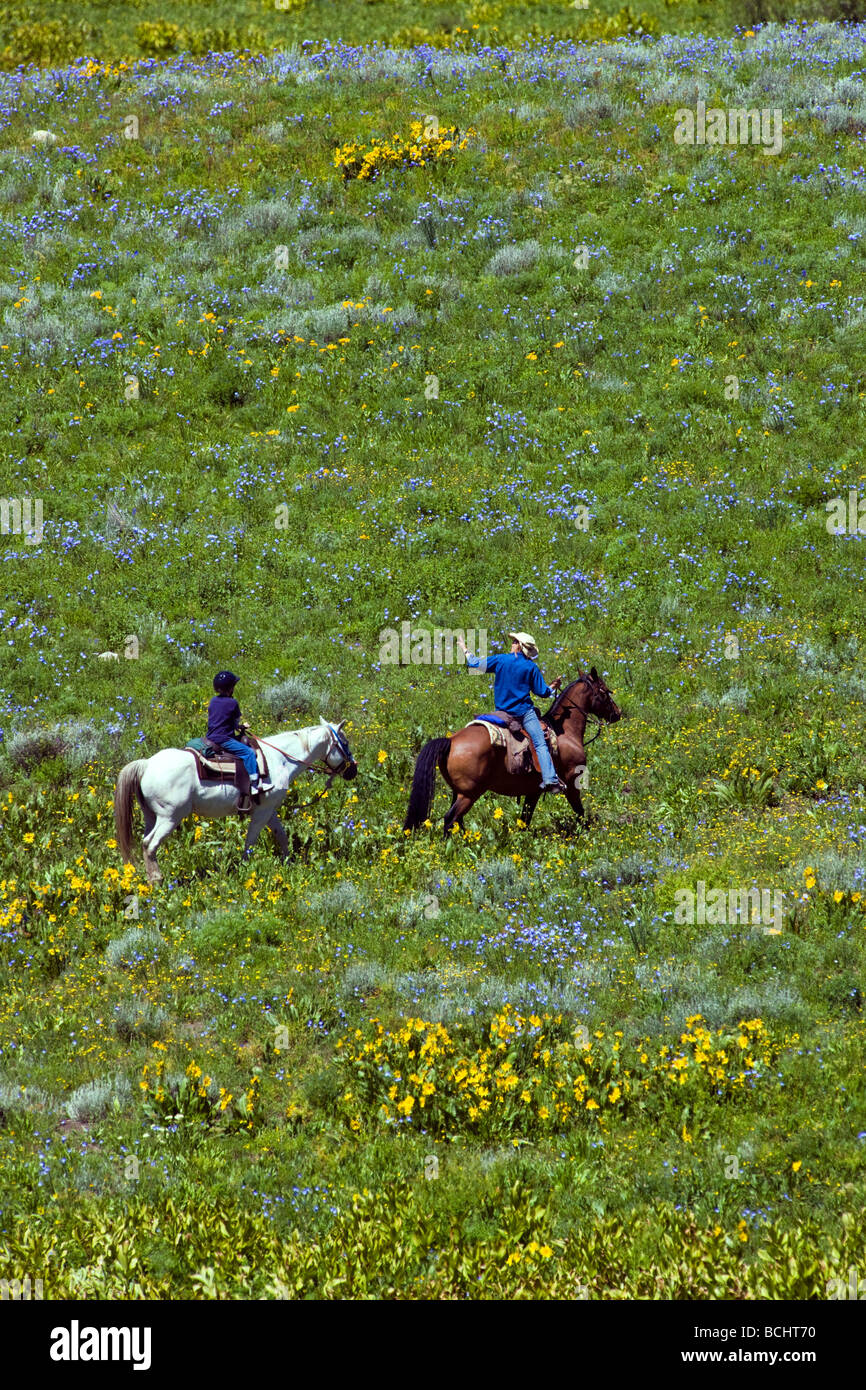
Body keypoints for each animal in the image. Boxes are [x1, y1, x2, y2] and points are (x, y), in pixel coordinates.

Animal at [113, 722, 358, 884]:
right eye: (345, 743)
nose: (353, 771)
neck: (280, 759)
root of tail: (146, 765)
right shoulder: (262, 811)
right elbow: (251, 840)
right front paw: (245, 868)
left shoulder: (269, 809)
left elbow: (281, 834)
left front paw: (288, 862)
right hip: (169, 818)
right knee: (149, 844)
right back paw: (157, 880)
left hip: (151, 816)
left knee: (145, 843)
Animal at [403, 669, 619, 834]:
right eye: (605, 691)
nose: (617, 713)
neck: (564, 732)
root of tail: (451, 741)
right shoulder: (573, 784)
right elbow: (580, 812)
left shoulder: (533, 791)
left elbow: (525, 819)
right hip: (469, 794)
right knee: (450, 819)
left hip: (458, 792)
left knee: (457, 821)